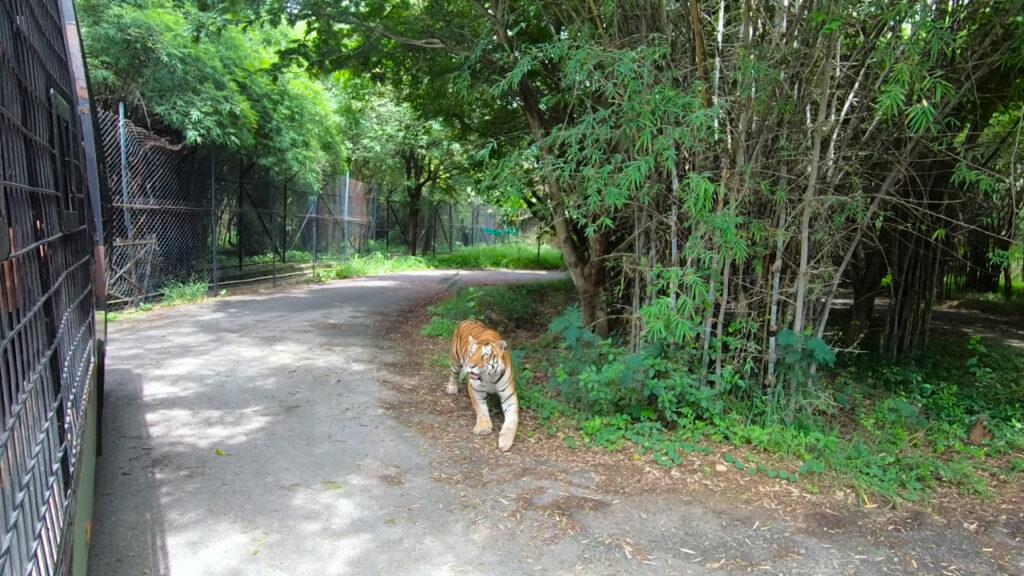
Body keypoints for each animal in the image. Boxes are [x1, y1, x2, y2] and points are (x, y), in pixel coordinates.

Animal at [444, 315, 516, 450]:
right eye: (471, 353)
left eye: (485, 355)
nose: (470, 366)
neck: (490, 376)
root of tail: (468, 319)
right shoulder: (475, 389)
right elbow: (481, 409)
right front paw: (483, 427)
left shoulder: (509, 395)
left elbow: (512, 419)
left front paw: (505, 441)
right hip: (456, 359)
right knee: (453, 373)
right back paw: (451, 388)